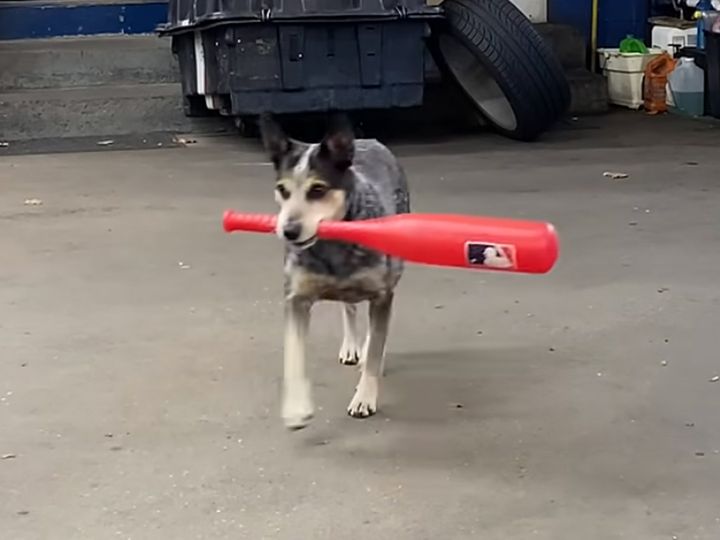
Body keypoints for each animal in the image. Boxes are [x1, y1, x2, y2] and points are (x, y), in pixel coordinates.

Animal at [259, 114, 410, 430]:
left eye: (318, 189)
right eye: (282, 190)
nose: (289, 230)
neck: (333, 246)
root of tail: (368, 140)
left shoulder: (382, 294)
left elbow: (375, 349)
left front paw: (364, 397)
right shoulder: (296, 298)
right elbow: (294, 352)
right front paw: (296, 407)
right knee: (348, 307)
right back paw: (351, 345)